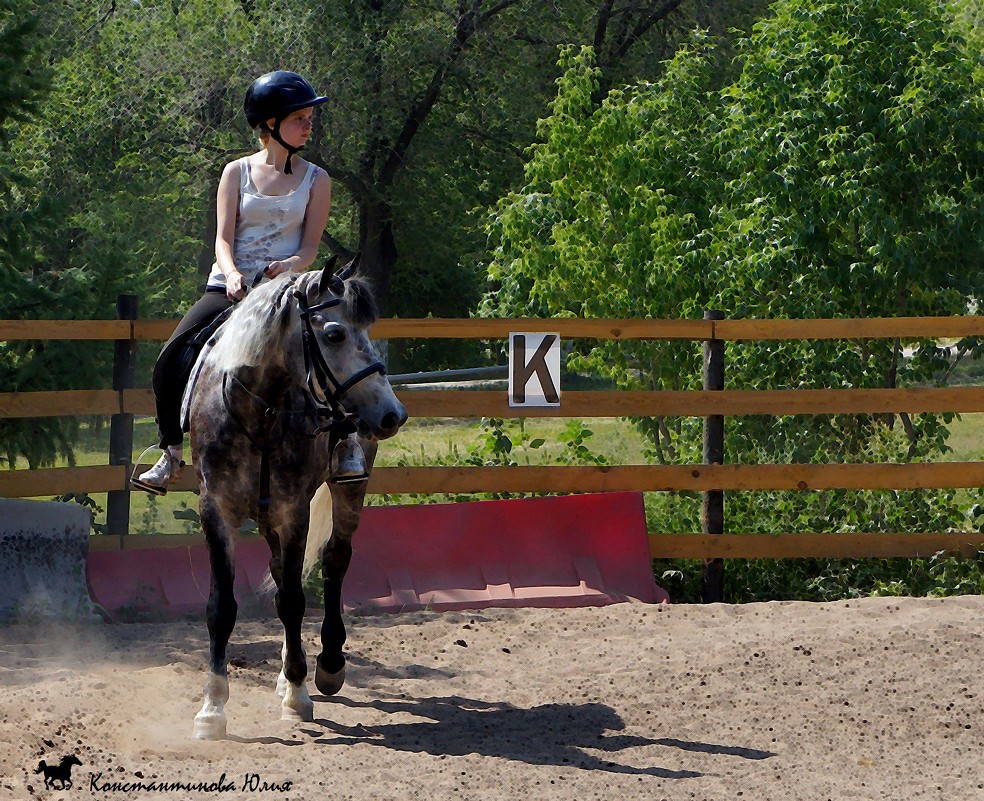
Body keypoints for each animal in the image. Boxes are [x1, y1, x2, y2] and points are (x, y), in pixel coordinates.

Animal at [186, 260, 406, 736]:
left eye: (367, 329)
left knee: (335, 560)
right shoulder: (216, 511)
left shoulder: (293, 513)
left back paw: (326, 665)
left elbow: (293, 600)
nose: (392, 414)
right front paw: (212, 709)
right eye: (335, 333)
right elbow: (221, 608)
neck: (259, 412)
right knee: (282, 573)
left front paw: (299, 696)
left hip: (348, 489)